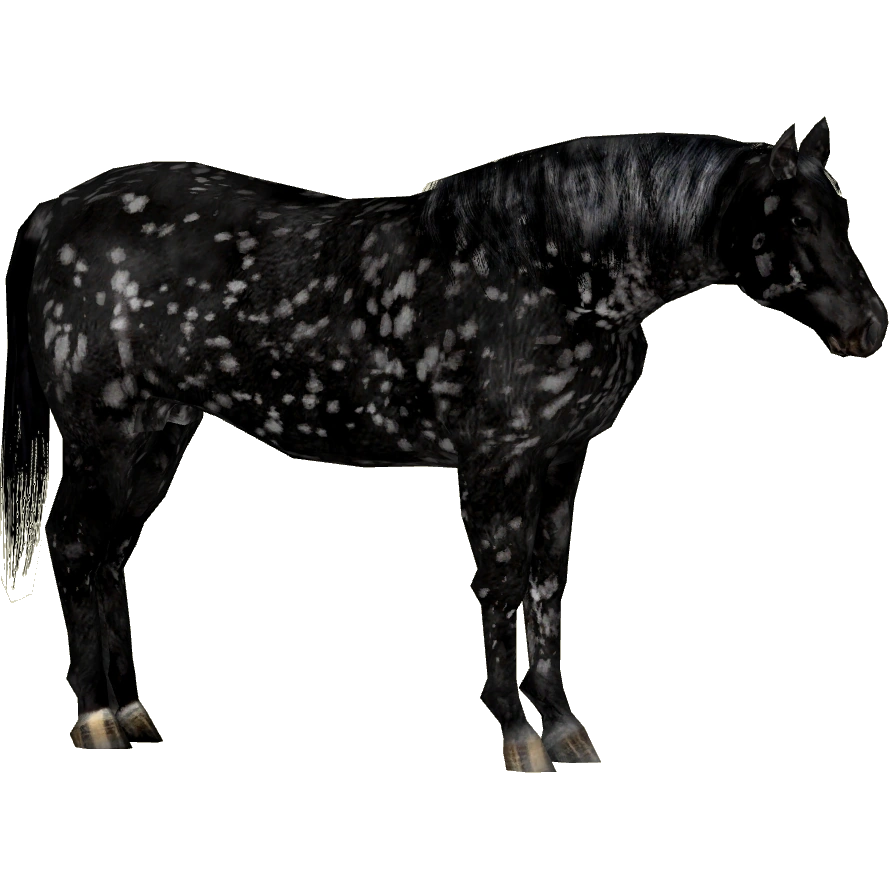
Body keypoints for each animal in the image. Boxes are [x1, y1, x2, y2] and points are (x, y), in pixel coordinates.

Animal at [1, 118, 884, 774]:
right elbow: (499, 585)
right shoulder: (497, 463)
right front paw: (517, 732)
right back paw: (95, 719)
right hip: (107, 436)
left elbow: (548, 583)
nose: (866, 329)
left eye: (840, 211)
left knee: (109, 556)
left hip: (157, 439)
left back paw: (133, 711)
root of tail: (57, 210)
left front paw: (563, 724)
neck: (547, 267)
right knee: (75, 548)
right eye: (792, 217)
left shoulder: (559, 462)